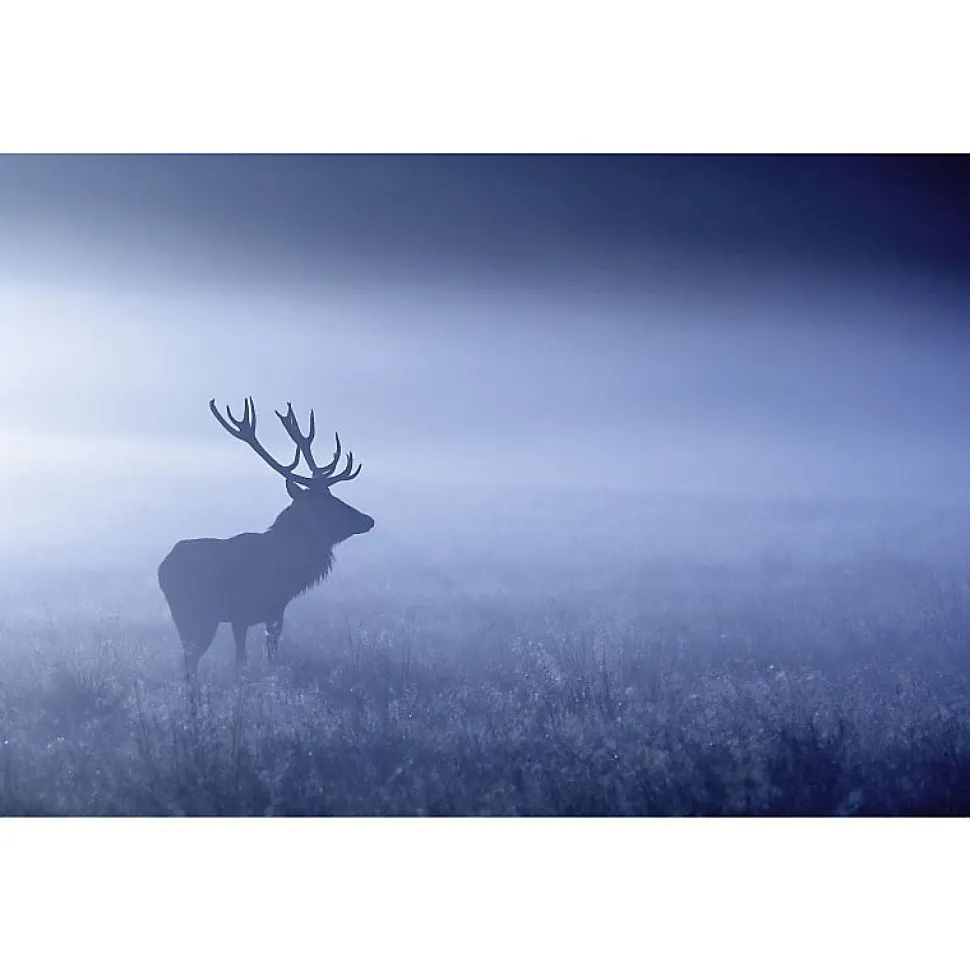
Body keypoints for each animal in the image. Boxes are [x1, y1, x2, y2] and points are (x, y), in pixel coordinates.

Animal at [158, 398, 374, 681]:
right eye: (327, 504)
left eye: (334, 496)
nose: (368, 519)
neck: (286, 572)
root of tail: (162, 568)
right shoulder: (240, 613)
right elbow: (241, 660)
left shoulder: (275, 612)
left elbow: (272, 653)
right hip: (195, 613)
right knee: (190, 661)